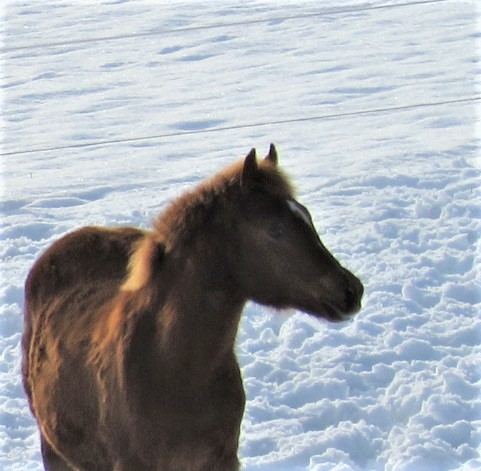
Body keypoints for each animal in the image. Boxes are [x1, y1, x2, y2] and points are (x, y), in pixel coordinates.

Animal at [21, 145, 360, 471]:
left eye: (306, 216)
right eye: (275, 230)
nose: (352, 291)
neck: (172, 368)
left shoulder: (222, 461)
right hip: (54, 450)